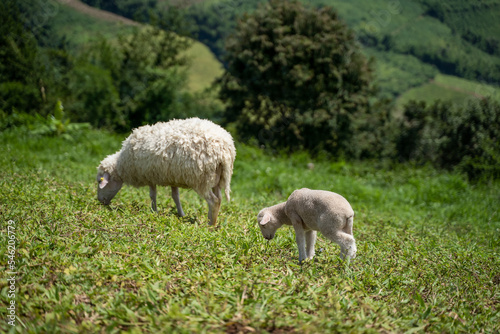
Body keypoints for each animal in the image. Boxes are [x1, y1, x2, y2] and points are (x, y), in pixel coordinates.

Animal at [98, 116, 238, 226]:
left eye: (99, 182)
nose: (100, 202)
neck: (121, 164)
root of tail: (225, 149)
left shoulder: (150, 175)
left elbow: (152, 195)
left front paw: (154, 211)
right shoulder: (172, 177)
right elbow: (175, 196)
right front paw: (181, 214)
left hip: (201, 180)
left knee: (214, 201)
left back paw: (210, 224)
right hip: (217, 179)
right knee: (219, 198)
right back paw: (214, 221)